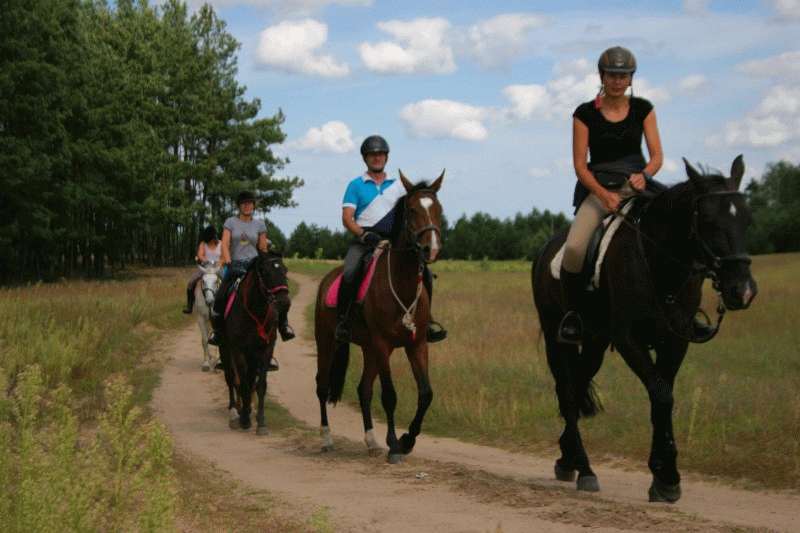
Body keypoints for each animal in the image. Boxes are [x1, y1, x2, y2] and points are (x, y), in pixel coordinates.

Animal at [219, 250, 290, 432]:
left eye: (285, 270)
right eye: (265, 272)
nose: (284, 302)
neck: (256, 310)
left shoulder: (266, 349)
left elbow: (260, 385)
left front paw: (261, 421)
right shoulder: (238, 350)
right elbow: (242, 382)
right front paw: (244, 419)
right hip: (225, 349)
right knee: (231, 378)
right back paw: (234, 410)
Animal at [316, 169, 446, 462]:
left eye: (438, 209)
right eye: (411, 210)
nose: (430, 249)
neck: (401, 282)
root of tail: (328, 279)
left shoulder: (417, 344)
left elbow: (426, 393)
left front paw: (408, 440)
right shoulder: (383, 344)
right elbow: (389, 395)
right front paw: (395, 445)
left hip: (369, 349)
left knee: (363, 389)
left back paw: (371, 441)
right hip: (328, 342)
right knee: (322, 386)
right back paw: (327, 438)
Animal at [532, 155, 756, 502]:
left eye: (746, 219)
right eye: (707, 220)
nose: (742, 291)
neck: (659, 261)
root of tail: (545, 250)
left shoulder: (675, 340)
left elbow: (663, 397)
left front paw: (663, 477)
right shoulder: (629, 340)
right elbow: (661, 395)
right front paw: (667, 477)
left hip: (595, 341)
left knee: (578, 384)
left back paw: (567, 459)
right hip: (557, 335)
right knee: (567, 391)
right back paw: (584, 468)